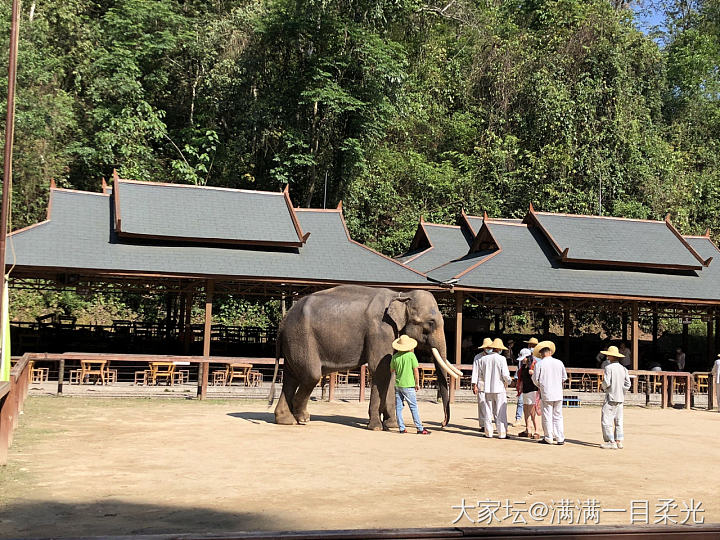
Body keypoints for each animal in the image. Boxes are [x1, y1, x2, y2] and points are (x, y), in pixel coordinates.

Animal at [268, 284, 458, 428]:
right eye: (430, 323)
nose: (443, 424)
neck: (401, 295)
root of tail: (283, 321)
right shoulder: (380, 330)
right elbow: (379, 370)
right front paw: (376, 427)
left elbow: (390, 372)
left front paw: (391, 426)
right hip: (301, 338)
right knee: (311, 375)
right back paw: (303, 418)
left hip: (293, 342)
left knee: (292, 377)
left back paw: (286, 421)